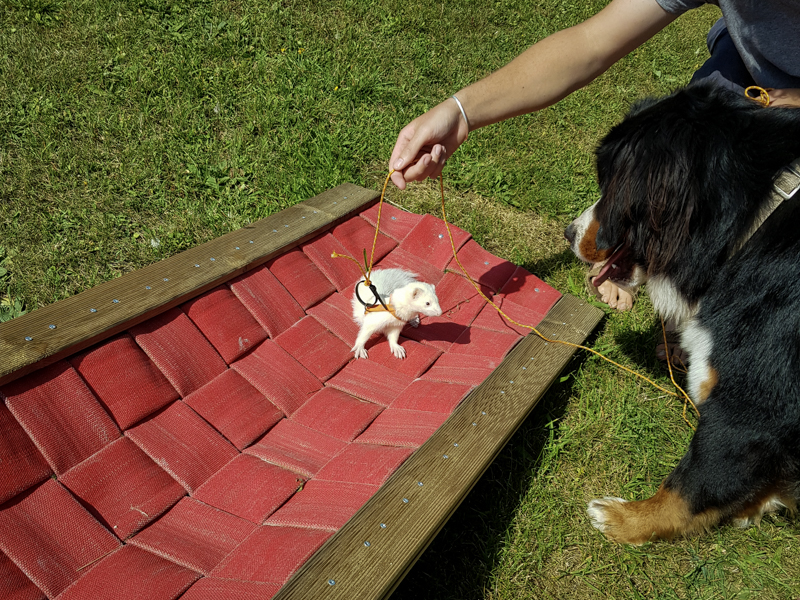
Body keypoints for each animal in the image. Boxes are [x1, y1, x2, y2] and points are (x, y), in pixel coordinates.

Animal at [564, 82, 800, 548]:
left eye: (611, 184)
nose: (568, 232)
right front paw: (757, 503)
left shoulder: (749, 404)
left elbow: (689, 487)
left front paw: (627, 519)